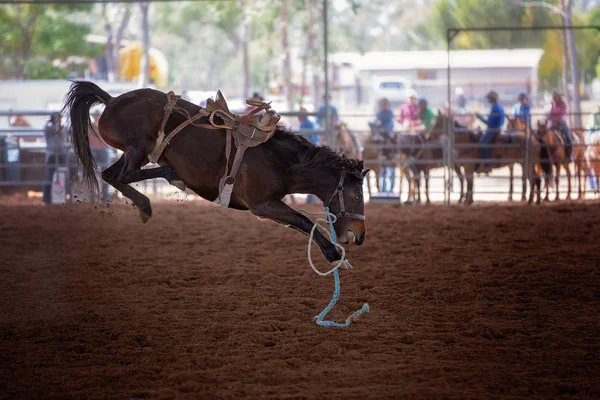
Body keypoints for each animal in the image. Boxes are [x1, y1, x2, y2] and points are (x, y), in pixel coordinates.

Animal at [63, 80, 368, 266]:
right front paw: (334, 255)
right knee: (125, 175)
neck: (278, 159)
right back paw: (164, 181)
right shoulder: (262, 204)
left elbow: (299, 222)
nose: (360, 235)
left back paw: (146, 203)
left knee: (111, 176)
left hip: (132, 152)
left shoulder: (269, 205)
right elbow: (304, 220)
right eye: (356, 197)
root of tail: (111, 100)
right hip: (138, 149)